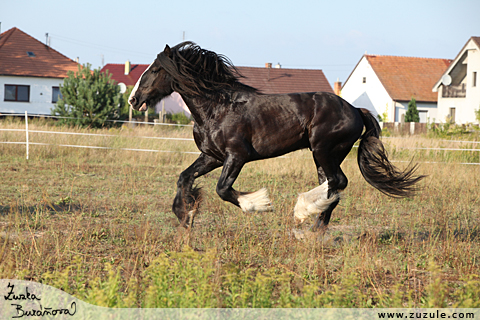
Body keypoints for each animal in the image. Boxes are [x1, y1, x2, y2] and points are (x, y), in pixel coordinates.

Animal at [128, 42, 424, 232]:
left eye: (155, 70)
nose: (133, 99)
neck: (218, 107)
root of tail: (355, 109)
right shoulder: (211, 156)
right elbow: (184, 177)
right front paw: (186, 214)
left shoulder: (237, 156)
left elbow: (223, 189)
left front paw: (258, 204)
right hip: (324, 155)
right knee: (331, 185)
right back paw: (315, 225)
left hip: (323, 149)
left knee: (337, 182)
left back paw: (305, 214)